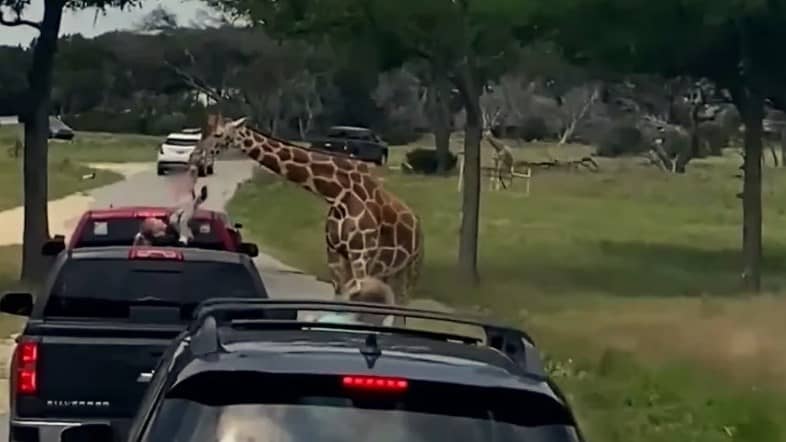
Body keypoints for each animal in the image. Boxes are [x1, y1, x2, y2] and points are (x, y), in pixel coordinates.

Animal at [192, 112, 422, 306]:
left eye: (218, 134)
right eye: (204, 131)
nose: (195, 155)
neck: (337, 193)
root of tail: (417, 225)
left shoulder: (360, 253)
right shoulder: (335, 254)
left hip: (408, 270)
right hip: (387, 271)